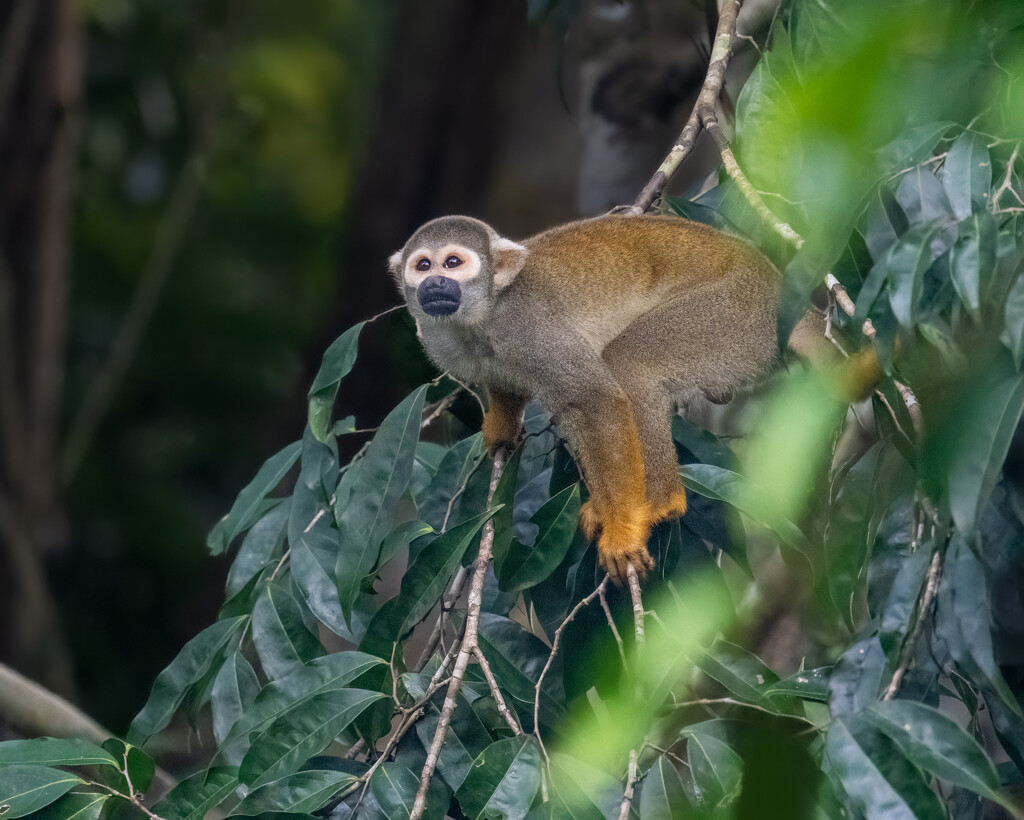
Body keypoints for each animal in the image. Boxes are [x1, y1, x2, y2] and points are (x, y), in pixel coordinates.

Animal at [385, 212, 790, 581]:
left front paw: (623, 531)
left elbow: (596, 399)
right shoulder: (439, 338)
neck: (481, 315)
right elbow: (505, 381)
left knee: (629, 366)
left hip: (735, 313)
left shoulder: (527, 329)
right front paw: (501, 425)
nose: (435, 282)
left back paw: (660, 502)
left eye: (453, 262)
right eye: (423, 265)